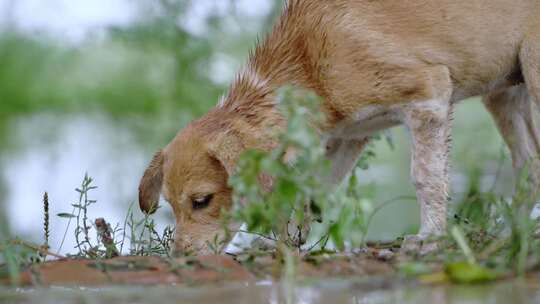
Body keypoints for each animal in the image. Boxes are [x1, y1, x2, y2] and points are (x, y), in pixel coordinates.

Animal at [137, 0, 540, 254]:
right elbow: (310, 189)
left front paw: (429, 237)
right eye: (171, 205)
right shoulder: (349, 135)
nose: (180, 257)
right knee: (530, 165)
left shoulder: (429, 97)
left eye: (201, 201)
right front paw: (287, 241)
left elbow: (427, 178)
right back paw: (515, 235)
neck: (309, 63)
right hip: (505, 95)